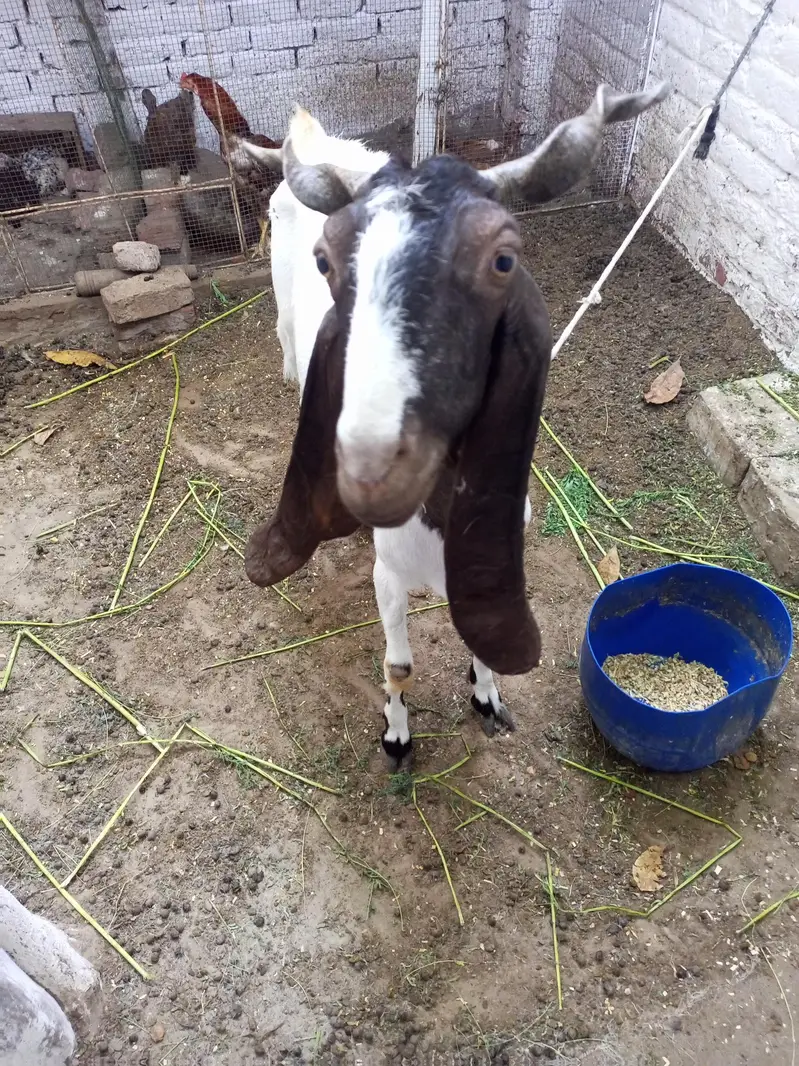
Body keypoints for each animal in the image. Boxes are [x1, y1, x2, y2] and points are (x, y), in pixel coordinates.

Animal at [238, 82, 670, 768]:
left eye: (503, 260)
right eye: (325, 261)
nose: (369, 470)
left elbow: (481, 640)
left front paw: (487, 697)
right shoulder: (389, 578)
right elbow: (399, 667)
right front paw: (396, 738)